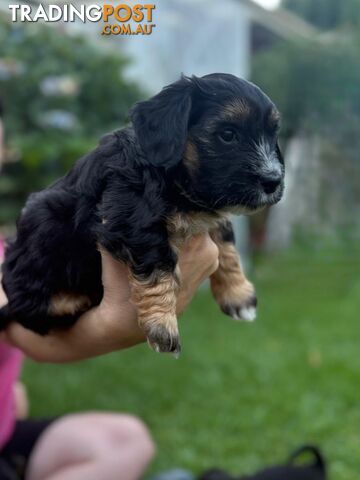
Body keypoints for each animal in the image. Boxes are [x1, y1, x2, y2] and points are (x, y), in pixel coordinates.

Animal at [1, 73, 286, 354]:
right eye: (228, 134)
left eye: (273, 134)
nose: (273, 181)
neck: (171, 175)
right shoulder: (132, 219)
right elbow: (158, 265)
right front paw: (163, 325)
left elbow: (226, 245)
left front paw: (237, 294)